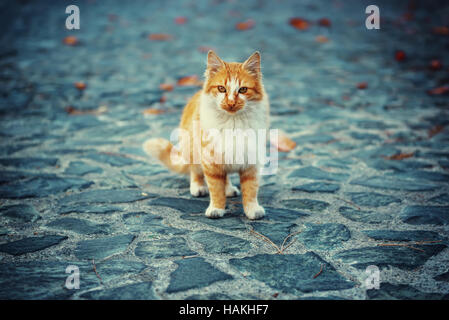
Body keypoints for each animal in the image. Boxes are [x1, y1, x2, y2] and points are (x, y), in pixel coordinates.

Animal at [144, 50, 270, 220]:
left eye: (243, 90)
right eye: (221, 89)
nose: (231, 103)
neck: (233, 122)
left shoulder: (251, 161)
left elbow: (250, 190)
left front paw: (252, 209)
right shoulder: (211, 160)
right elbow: (216, 189)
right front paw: (217, 208)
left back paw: (229, 189)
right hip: (192, 149)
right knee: (195, 172)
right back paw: (198, 187)